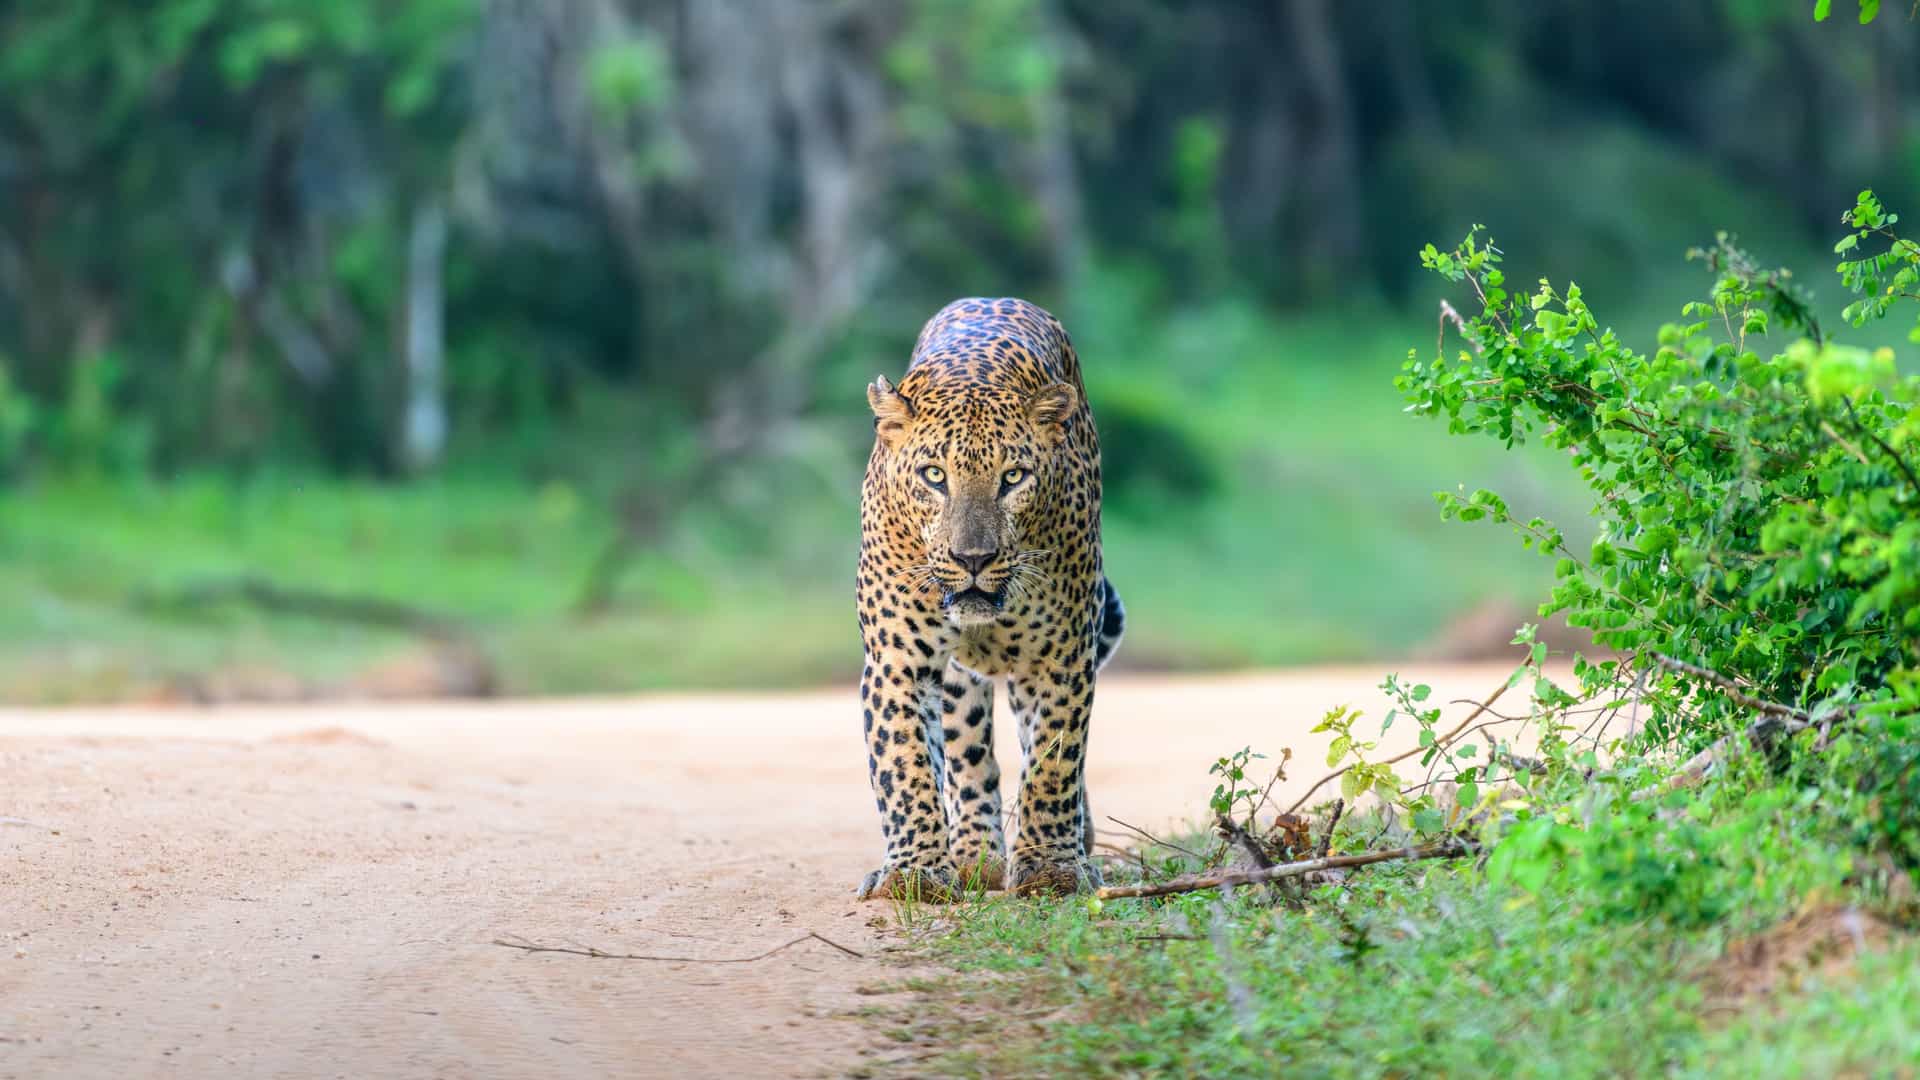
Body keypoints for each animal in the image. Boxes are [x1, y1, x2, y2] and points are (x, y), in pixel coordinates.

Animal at [854, 296, 1124, 901]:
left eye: (1013, 477)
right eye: (934, 476)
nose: (972, 559)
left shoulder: (1064, 655)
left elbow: (1053, 761)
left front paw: (1050, 866)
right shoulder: (896, 659)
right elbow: (906, 762)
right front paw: (915, 872)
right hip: (956, 680)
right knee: (968, 756)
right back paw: (974, 855)